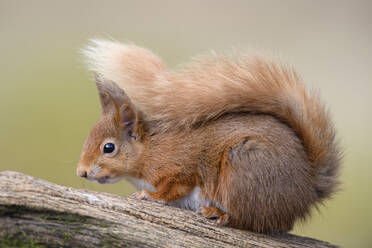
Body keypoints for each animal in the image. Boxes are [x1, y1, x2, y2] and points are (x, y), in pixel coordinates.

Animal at [77, 39, 342, 233]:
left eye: (108, 148)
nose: (82, 172)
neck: (152, 149)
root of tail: (307, 191)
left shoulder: (180, 170)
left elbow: (172, 190)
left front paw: (149, 196)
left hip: (243, 170)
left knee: (251, 221)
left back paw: (217, 213)